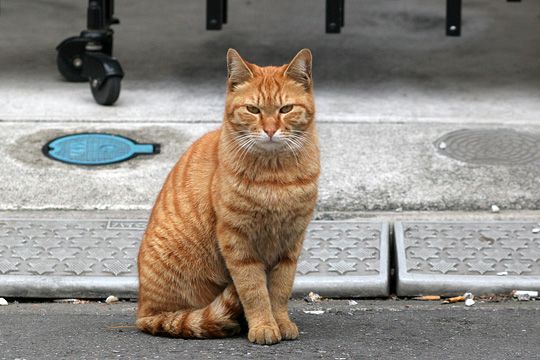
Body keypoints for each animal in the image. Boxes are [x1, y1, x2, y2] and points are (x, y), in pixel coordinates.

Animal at [137, 49, 318, 344]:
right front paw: (264, 326)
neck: (274, 178)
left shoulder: (291, 242)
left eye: (286, 109)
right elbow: (255, 291)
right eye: (253, 110)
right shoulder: (236, 241)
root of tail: (141, 310)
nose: (270, 130)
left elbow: (280, 290)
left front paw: (281, 322)